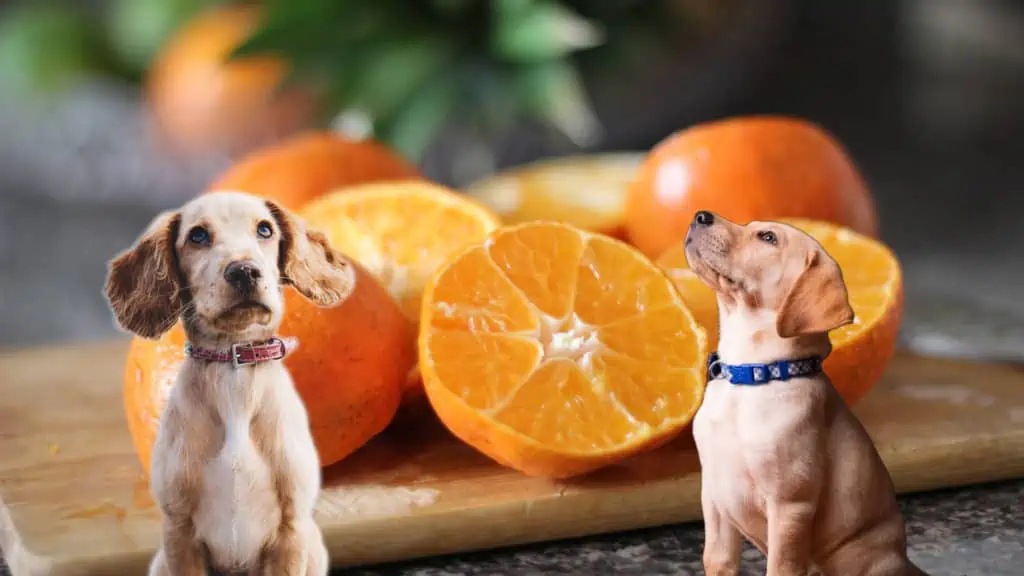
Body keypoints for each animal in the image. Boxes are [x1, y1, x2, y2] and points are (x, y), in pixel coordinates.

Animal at [102, 190, 354, 569]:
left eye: (265, 229)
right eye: (197, 235)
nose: (244, 271)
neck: (233, 375)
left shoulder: (291, 530)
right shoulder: (179, 532)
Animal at [684, 211, 925, 573]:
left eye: (768, 238)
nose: (700, 215)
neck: (751, 375)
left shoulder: (790, 505)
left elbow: (781, 566)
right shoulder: (713, 497)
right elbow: (717, 559)